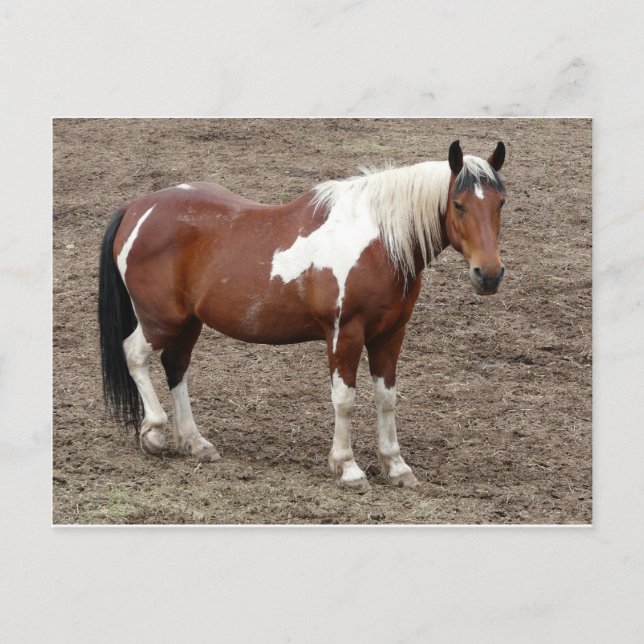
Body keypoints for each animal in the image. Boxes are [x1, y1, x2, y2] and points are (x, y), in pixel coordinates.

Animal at [98, 139, 506, 491]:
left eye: (500, 202)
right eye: (458, 204)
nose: (489, 275)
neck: (377, 243)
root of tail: (135, 210)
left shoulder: (390, 335)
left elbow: (386, 398)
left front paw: (395, 466)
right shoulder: (345, 334)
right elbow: (344, 399)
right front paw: (347, 467)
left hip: (189, 322)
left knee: (176, 365)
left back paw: (195, 442)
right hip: (160, 321)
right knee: (135, 355)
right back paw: (153, 432)